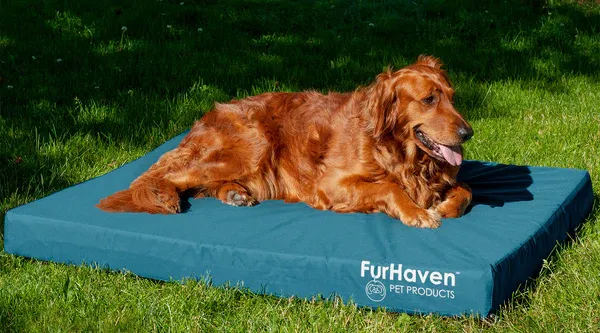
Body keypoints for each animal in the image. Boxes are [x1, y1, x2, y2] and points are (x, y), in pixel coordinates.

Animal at [97, 55, 474, 227]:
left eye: (453, 97)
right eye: (429, 99)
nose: (468, 134)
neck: (400, 154)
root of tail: (207, 115)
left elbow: (467, 191)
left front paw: (444, 205)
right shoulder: (330, 184)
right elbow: (389, 187)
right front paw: (417, 212)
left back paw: (234, 193)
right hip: (253, 145)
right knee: (165, 176)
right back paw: (162, 195)